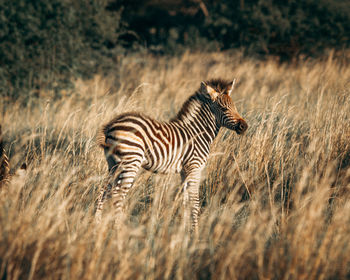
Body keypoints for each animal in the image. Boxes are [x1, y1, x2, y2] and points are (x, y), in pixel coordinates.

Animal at [96, 78, 249, 230]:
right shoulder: (194, 167)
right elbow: (195, 201)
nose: (244, 126)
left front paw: (184, 230)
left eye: (235, 107)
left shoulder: (185, 171)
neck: (198, 133)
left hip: (114, 164)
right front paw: (195, 232)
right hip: (130, 162)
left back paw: (97, 224)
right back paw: (118, 229)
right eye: (224, 109)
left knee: (103, 191)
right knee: (117, 194)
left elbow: (185, 201)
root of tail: (111, 126)